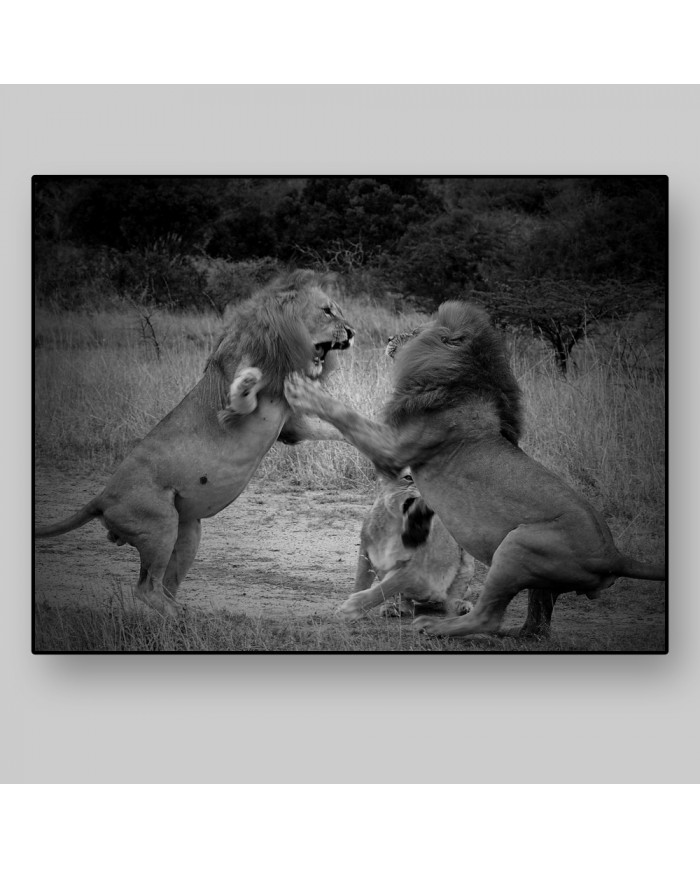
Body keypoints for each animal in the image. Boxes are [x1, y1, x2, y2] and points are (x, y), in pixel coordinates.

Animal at [35, 270, 355, 616]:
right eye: (327, 311)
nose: (352, 333)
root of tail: (102, 497)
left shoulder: (291, 425)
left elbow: (332, 427)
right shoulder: (234, 406)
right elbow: (242, 395)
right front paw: (248, 380)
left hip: (188, 530)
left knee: (164, 587)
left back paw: (187, 614)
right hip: (160, 524)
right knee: (145, 589)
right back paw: (177, 619)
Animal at [341, 472, 476, 620]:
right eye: (408, 477)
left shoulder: (417, 567)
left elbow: (391, 585)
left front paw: (352, 607)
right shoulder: (366, 550)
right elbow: (361, 581)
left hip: (466, 559)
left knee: (451, 598)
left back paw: (462, 607)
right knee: (406, 602)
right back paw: (393, 608)